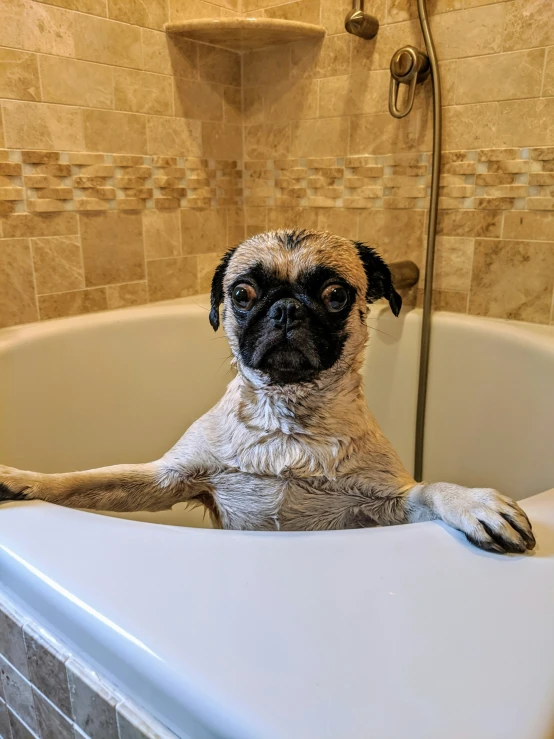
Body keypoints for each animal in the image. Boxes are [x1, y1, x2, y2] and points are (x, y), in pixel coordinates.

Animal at [0, 231, 536, 556]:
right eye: (242, 294)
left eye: (335, 295)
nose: (286, 309)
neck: (287, 416)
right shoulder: (164, 480)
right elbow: (81, 480)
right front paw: (21, 479)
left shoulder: (388, 506)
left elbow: (428, 488)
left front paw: (471, 501)